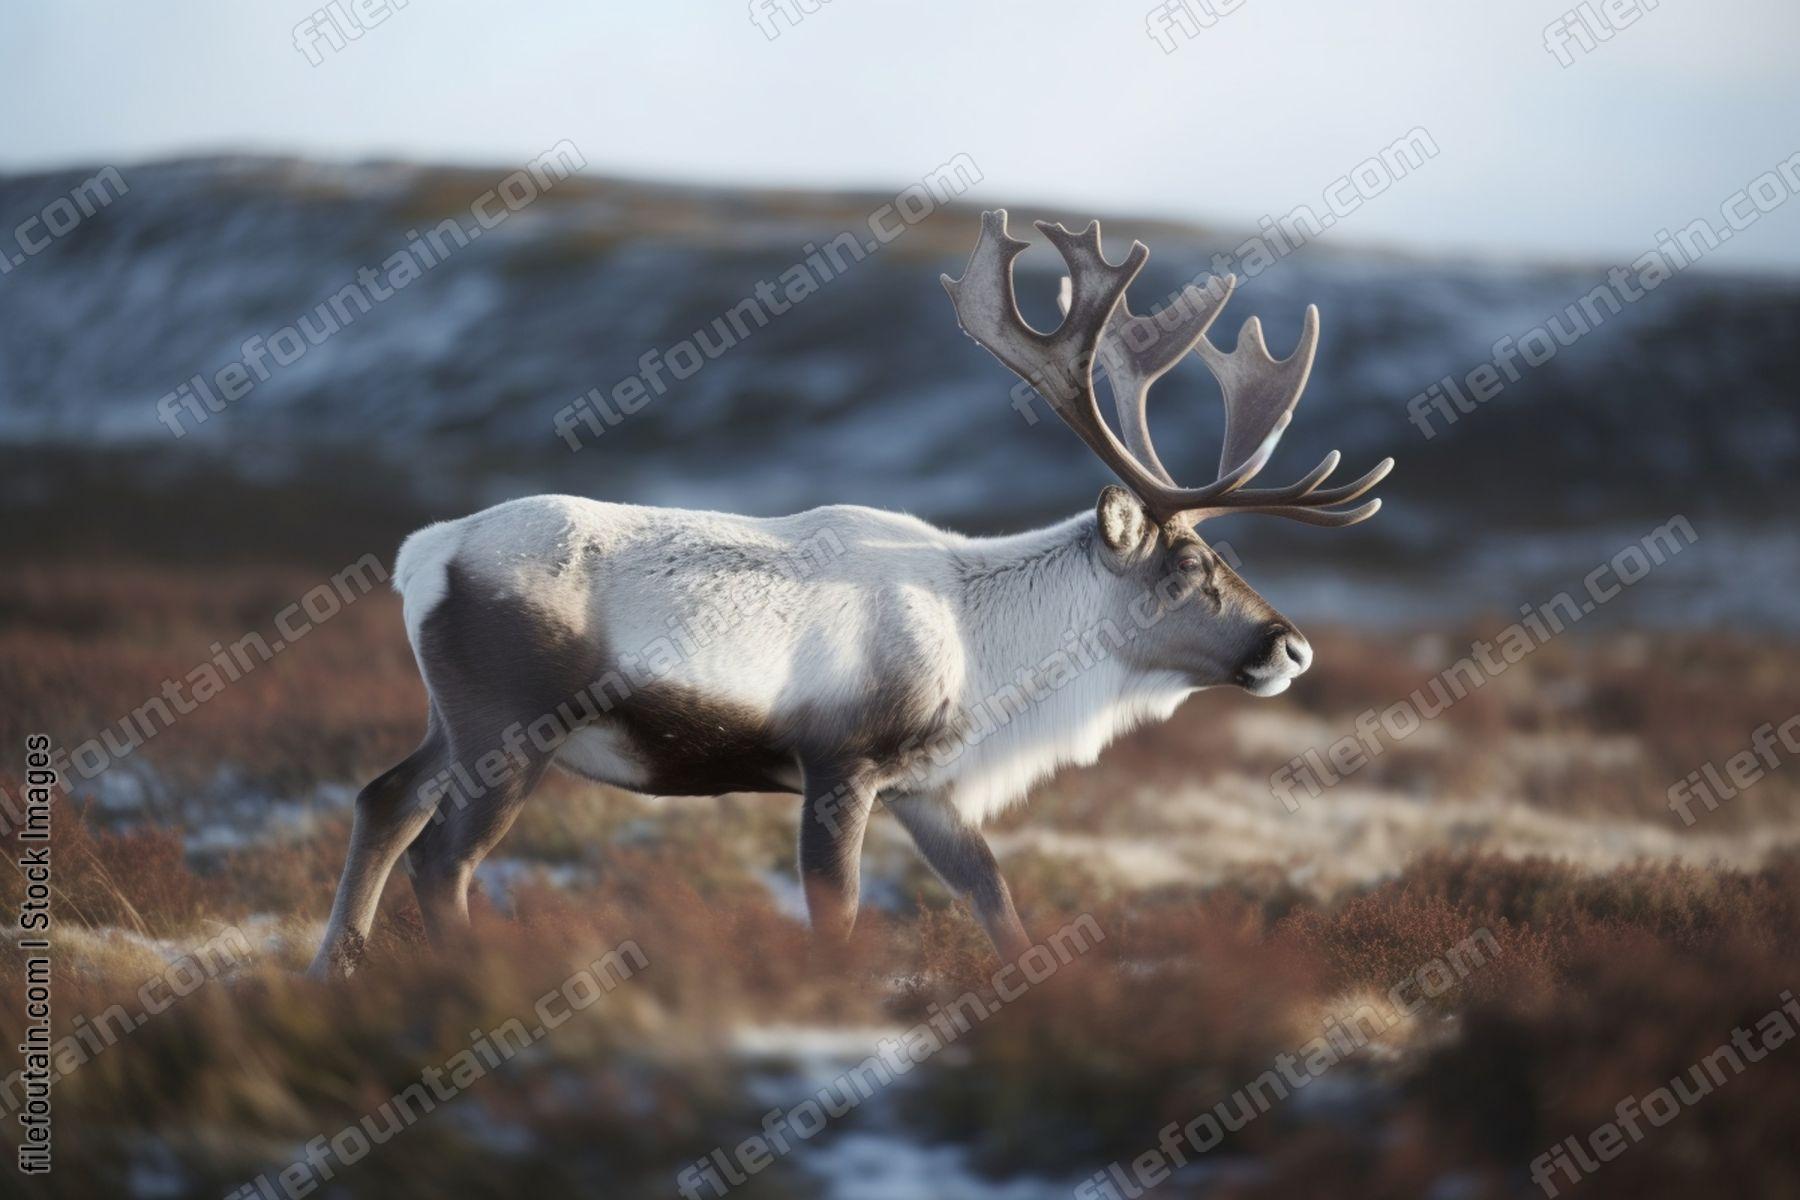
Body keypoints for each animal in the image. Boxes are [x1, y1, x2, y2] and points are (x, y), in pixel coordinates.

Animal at [307, 210, 1391, 979]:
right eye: (1190, 567)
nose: (1291, 647)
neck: (992, 649)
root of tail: (425, 553)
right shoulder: (842, 766)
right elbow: (839, 913)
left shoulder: (928, 789)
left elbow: (997, 900)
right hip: (511, 730)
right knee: (441, 858)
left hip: (452, 720)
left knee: (381, 800)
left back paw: (335, 973)